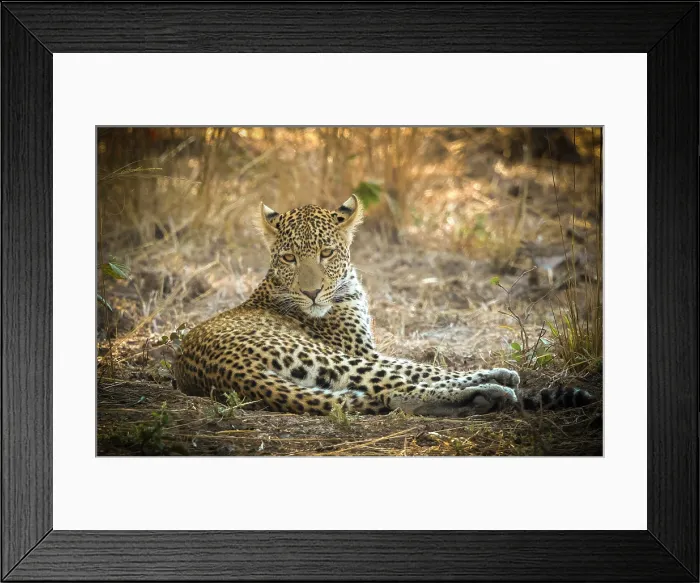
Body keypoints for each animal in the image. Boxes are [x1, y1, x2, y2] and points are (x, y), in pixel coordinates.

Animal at [174, 195, 593, 417]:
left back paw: (483, 396)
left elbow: (420, 364)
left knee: (389, 391)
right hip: (327, 358)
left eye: (326, 253)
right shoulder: (361, 350)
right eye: (290, 258)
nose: (311, 293)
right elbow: (423, 366)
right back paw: (493, 392)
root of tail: (227, 372)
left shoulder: (366, 349)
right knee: (396, 389)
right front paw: (500, 374)